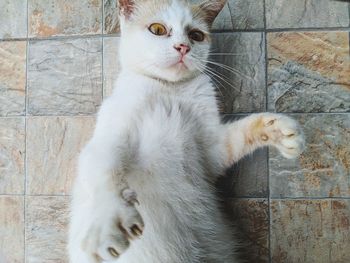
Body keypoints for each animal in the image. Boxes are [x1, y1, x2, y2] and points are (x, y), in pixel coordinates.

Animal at [67, 0, 304, 263]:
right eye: (158, 29)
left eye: (196, 35)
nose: (183, 47)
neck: (170, 91)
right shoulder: (111, 135)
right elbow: (104, 168)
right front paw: (109, 222)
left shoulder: (212, 153)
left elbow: (239, 135)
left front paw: (278, 130)